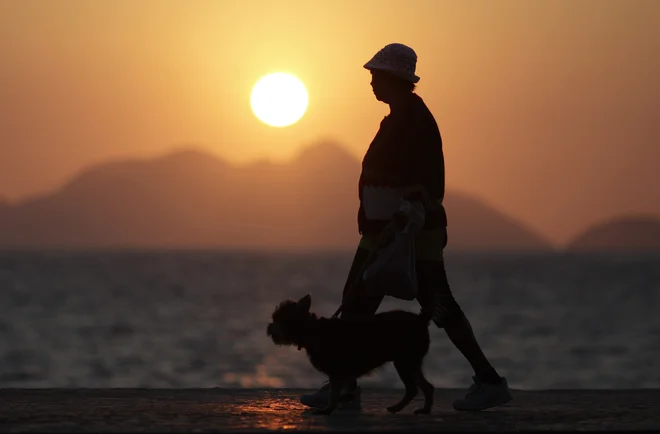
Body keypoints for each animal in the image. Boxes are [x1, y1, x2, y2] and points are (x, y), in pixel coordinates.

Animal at [266, 294, 436, 416]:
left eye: (277, 318)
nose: (268, 327)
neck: (312, 330)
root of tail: (421, 319)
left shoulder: (336, 371)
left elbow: (333, 394)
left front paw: (328, 410)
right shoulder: (342, 373)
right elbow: (342, 390)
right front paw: (343, 401)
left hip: (405, 361)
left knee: (415, 387)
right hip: (407, 362)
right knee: (422, 387)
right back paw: (417, 409)